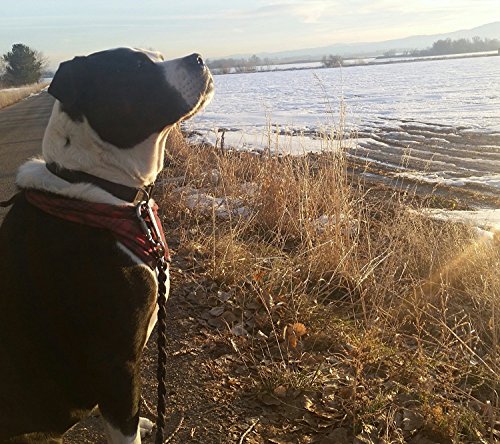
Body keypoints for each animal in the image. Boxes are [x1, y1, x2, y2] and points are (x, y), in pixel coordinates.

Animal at [0, 47, 213, 443]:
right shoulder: (115, 362)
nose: (198, 58)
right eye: (137, 67)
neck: (92, 182)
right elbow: (123, 423)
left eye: (158, 56)